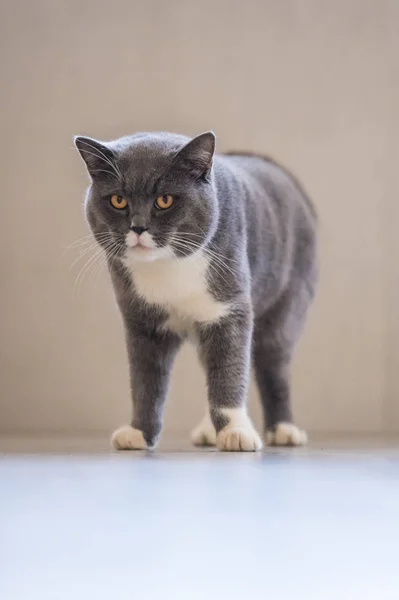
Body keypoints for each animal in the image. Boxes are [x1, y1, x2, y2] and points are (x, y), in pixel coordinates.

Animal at [76, 131, 318, 450]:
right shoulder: (141, 322)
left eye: (164, 200)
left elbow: (229, 372)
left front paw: (235, 432)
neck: (167, 268)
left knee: (274, 365)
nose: (138, 227)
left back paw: (283, 430)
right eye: (118, 200)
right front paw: (139, 431)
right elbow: (145, 381)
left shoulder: (229, 310)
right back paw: (208, 430)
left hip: (286, 303)